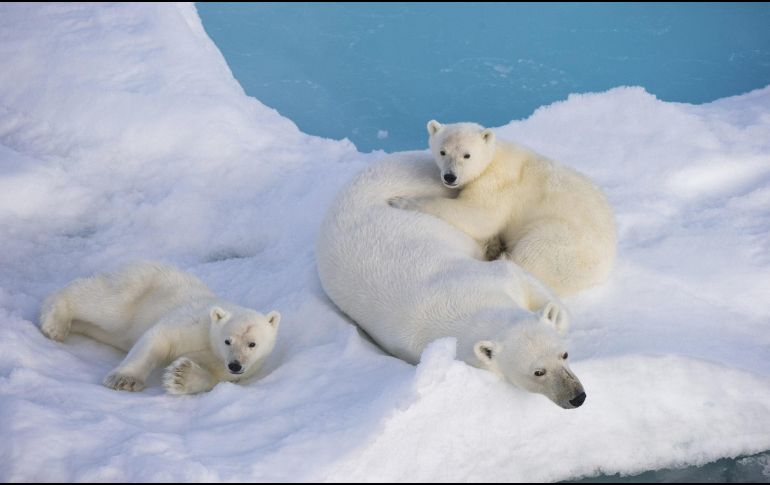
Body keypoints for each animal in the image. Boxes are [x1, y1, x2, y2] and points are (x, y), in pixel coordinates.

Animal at [40, 261, 280, 395]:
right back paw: (55, 323)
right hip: (137, 289)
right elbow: (160, 337)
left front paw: (181, 376)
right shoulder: (193, 321)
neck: (210, 341)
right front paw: (124, 380)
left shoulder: (224, 367)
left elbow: (212, 377)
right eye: (227, 340)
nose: (235, 364)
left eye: (252, 344)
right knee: (103, 304)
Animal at [317, 152, 586, 408]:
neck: (465, 302)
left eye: (564, 354)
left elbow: (524, 279)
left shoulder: (494, 277)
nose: (577, 397)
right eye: (538, 372)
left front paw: (554, 314)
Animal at [389, 121, 617, 297]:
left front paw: (401, 201)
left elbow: (480, 216)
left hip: (560, 241)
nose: (450, 177)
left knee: (532, 253)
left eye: (467, 155)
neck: (493, 157)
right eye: (442, 151)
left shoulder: (498, 183)